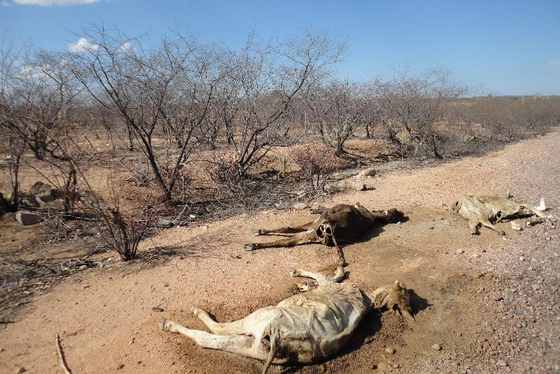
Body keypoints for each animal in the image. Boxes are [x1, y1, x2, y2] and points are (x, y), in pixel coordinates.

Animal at [160, 262, 414, 374]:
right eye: (406, 293)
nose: (407, 287)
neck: (369, 300)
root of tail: (279, 340)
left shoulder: (329, 284)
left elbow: (322, 275)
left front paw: (299, 273)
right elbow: (324, 277)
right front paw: (304, 281)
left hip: (262, 317)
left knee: (214, 333)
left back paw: (176, 320)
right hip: (254, 347)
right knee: (221, 338)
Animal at [244, 205, 402, 262]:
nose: (399, 212)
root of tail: (328, 229)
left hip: (312, 229)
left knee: (287, 239)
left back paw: (252, 244)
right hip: (313, 229)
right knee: (288, 231)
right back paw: (258, 233)